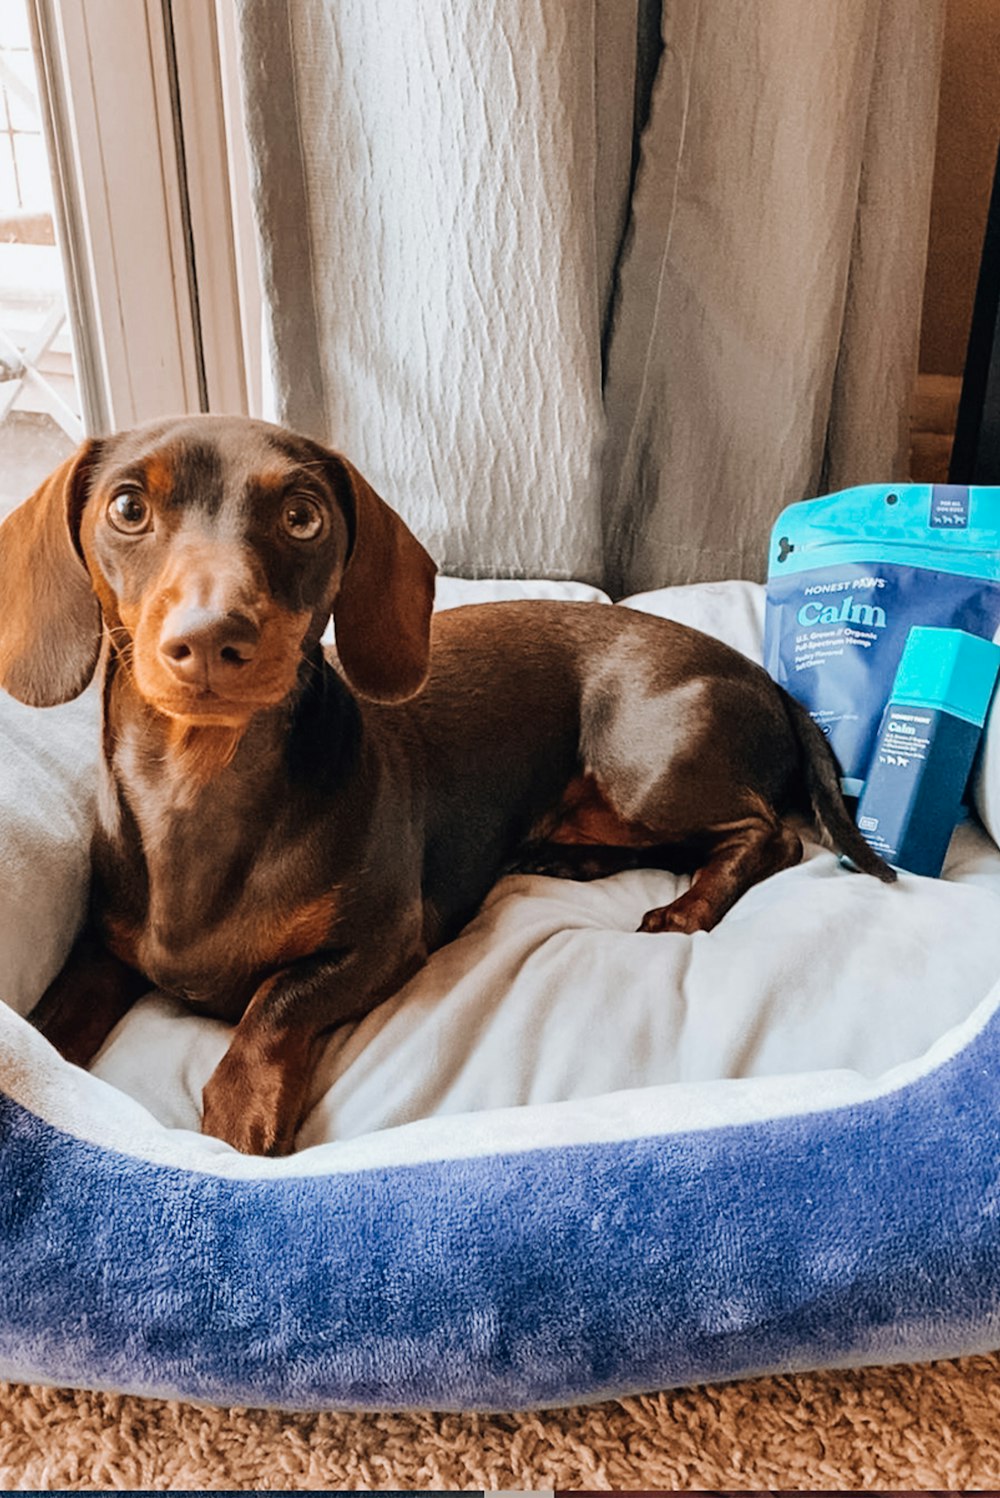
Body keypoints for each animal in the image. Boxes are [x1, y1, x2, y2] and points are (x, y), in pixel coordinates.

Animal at [0, 416, 892, 1150]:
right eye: (127, 508)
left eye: (302, 515)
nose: (212, 638)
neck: (198, 788)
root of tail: (764, 677)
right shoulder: (103, 949)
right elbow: (53, 1028)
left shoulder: (387, 940)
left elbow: (274, 1003)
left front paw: (240, 1107)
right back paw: (570, 860)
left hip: (646, 764)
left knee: (765, 833)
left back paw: (686, 907)